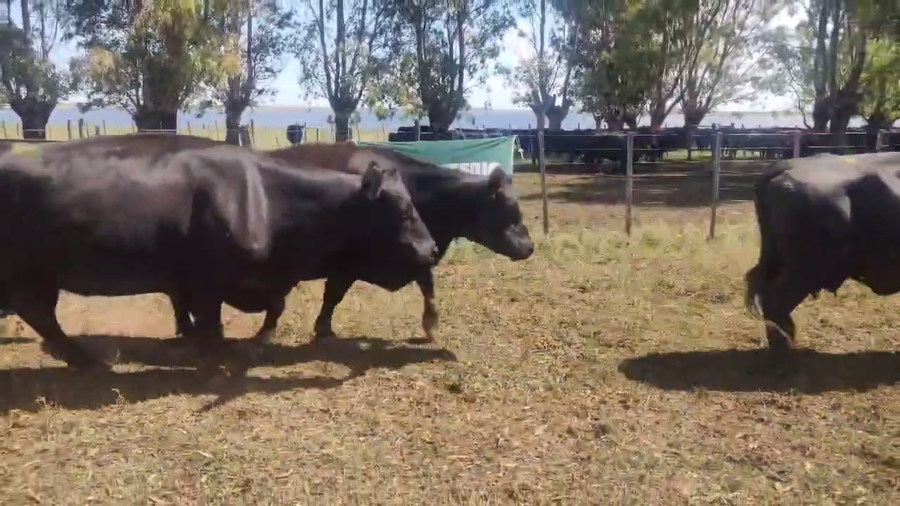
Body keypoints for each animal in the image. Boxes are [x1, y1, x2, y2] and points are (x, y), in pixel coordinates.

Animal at [0, 133, 437, 370]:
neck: (264, 197)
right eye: (402, 210)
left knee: (41, 317)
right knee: (40, 315)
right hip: (28, 274)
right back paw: (88, 360)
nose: (432, 249)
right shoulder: (204, 281)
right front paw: (215, 352)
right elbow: (209, 320)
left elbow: (269, 307)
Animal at [169, 142, 535, 345]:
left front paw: (431, 325)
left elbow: (427, 284)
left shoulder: (417, 253)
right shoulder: (345, 264)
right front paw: (318, 329)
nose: (530, 246)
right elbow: (332, 295)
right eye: (510, 211)